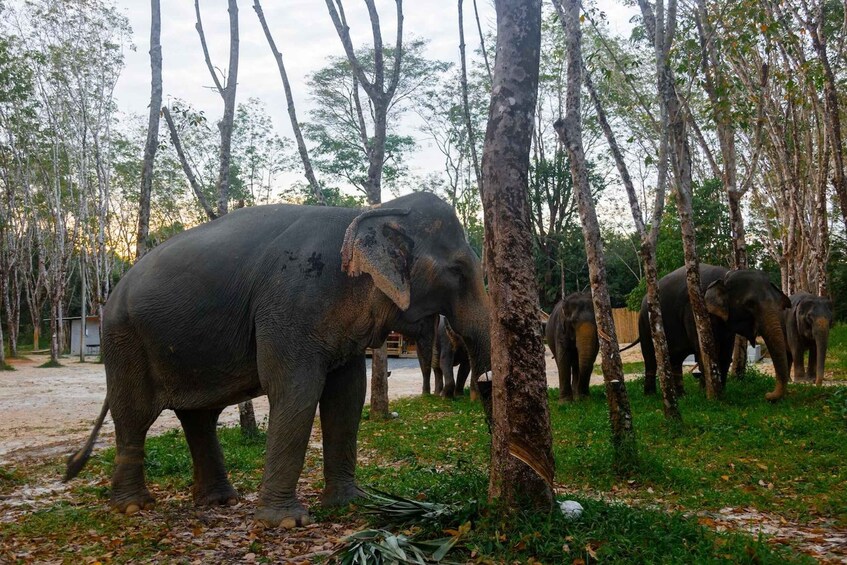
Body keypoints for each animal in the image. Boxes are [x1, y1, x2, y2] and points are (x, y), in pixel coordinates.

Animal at [64, 194, 490, 528]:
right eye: (457, 271)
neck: (372, 210)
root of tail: (112, 294)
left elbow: (348, 395)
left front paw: (351, 503)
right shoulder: (291, 301)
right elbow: (296, 389)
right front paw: (286, 522)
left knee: (199, 416)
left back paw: (220, 501)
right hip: (124, 338)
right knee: (135, 414)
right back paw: (133, 507)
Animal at [636, 266, 796, 400]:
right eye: (750, 304)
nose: (767, 395)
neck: (726, 275)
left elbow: (725, 354)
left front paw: (721, 392)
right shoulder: (695, 312)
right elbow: (704, 351)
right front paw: (706, 394)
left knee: (676, 360)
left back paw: (682, 396)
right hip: (645, 323)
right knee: (650, 359)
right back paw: (650, 395)